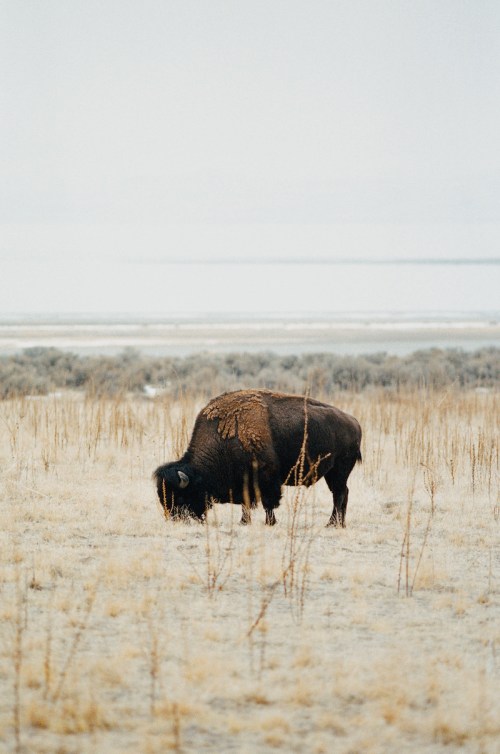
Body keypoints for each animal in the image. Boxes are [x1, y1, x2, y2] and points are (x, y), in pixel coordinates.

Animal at [154, 389, 362, 527]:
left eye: (180, 496)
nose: (174, 518)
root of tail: (355, 423)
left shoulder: (267, 479)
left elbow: (268, 503)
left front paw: (270, 522)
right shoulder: (245, 483)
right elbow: (246, 504)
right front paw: (244, 521)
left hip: (339, 471)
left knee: (339, 494)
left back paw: (332, 523)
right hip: (333, 474)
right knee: (343, 494)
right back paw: (339, 523)